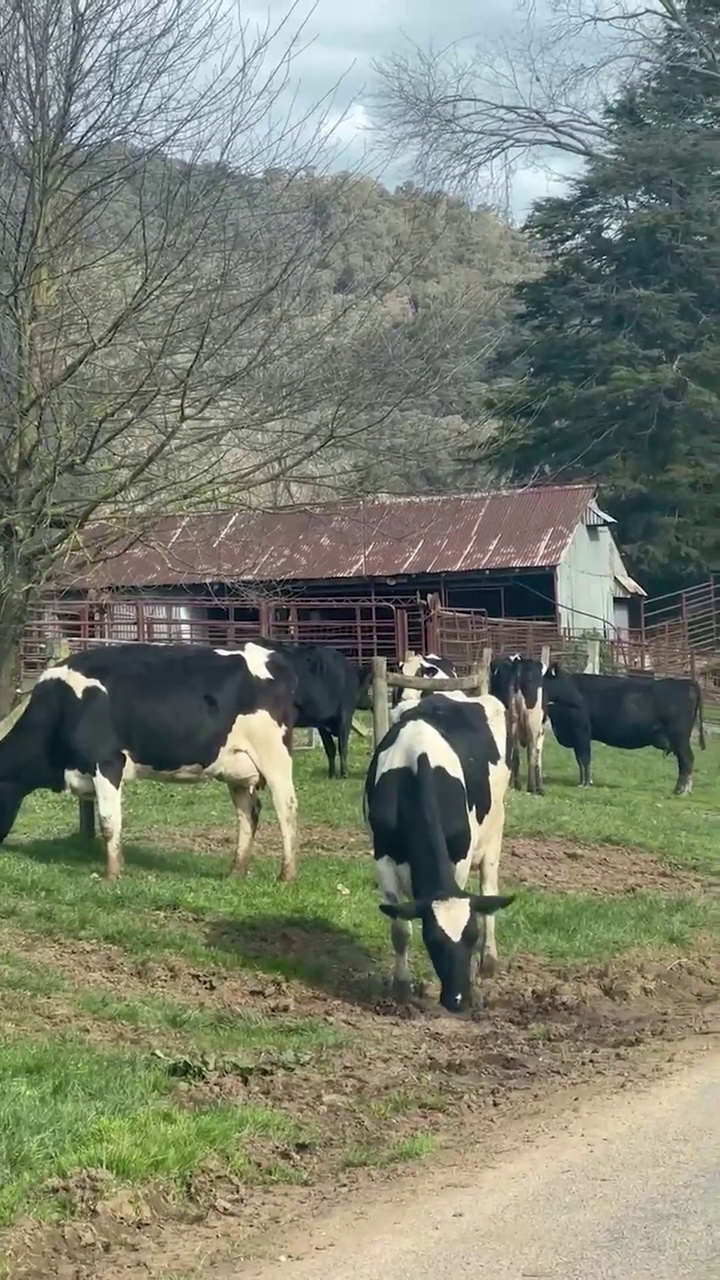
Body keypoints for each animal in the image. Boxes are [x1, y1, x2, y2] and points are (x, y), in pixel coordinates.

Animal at [0, 640, 297, 880]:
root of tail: (272, 656)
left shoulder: (107, 762)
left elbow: (109, 821)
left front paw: (112, 875)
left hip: (274, 756)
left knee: (286, 808)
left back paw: (287, 875)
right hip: (237, 766)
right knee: (248, 812)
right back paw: (236, 872)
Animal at [254, 640, 371, 778]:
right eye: (367, 687)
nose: (370, 702)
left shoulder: (322, 724)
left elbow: (330, 748)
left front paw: (332, 774)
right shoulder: (345, 715)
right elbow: (342, 747)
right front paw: (344, 774)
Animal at [366, 691, 512, 1008]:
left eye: (471, 937)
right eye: (433, 940)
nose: (457, 999)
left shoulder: (460, 858)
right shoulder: (383, 860)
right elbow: (400, 929)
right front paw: (401, 987)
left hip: (495, 828)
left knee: (489, 891)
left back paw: (489, 961)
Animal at [484, 655, 545, 793]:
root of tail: (517, 662)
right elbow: (537, 756)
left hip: (509, 721)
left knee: (513, 751)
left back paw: (515, 783)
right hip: (533, 722)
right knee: (531, 752)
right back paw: (531, 786)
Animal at [540, 665, 702, 793]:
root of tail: (686, 683)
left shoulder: (581, 732)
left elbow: (584, 759)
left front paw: (585, 783)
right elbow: (580, 760)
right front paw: (582, 782)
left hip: (680, 736)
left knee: (687, 760)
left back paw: (682, 790)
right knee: (683, 762)